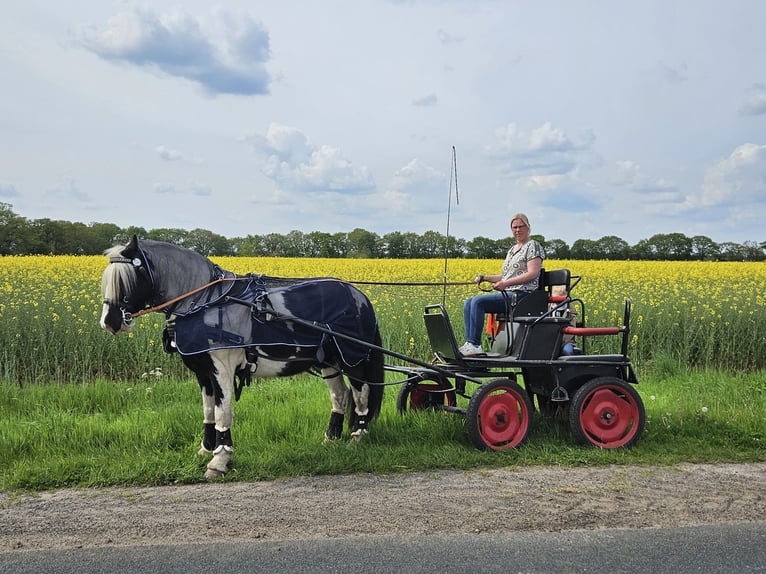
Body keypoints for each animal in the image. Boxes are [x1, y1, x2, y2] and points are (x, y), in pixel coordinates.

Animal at [101, 236, 388, 480]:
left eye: (129, 278)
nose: (109, 322)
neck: (205, 301)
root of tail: (359, 296)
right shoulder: (203, 371)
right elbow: (208, 410)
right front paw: (205, 449)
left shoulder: (222, 368)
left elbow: (223, 411)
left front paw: (220, 460)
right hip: (328, 361)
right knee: (340, 395)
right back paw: (331, 438)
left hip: (353, 359)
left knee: (361, 394)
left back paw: (358, 436)